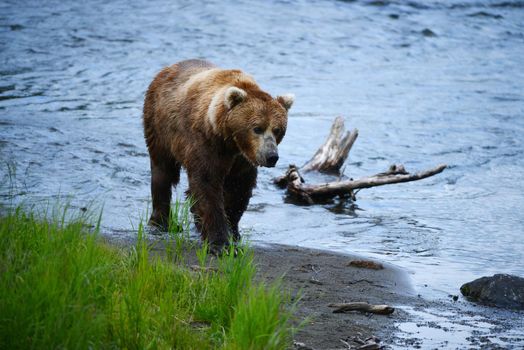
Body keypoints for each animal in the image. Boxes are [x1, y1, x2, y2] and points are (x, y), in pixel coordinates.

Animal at [143, 58, 294, 250]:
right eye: (257, 128)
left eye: (277, 130)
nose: (271, 156)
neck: (230, 141)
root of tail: (167, 69)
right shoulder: (205, 143)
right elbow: (207, 185)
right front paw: (220, 242)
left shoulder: (242, 160)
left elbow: (239, 189)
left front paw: (233, 232)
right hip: (159, 127)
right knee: (162, 172)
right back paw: (162, 223)